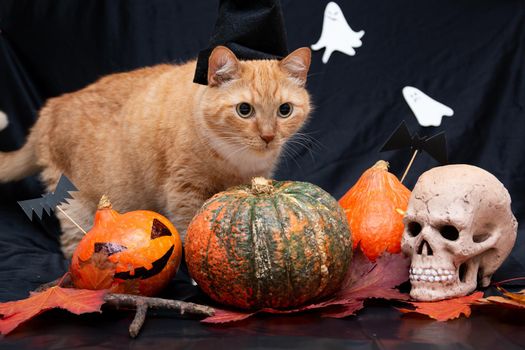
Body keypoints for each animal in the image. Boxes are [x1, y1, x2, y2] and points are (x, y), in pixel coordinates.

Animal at [0, 45, 312, 258]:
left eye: (284, 110)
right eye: (244, 110)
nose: (268, 136)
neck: (235, 161)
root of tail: (50, 107)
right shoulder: (184, 191)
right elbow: (188, 230)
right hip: (72, 202)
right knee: (71, 243)